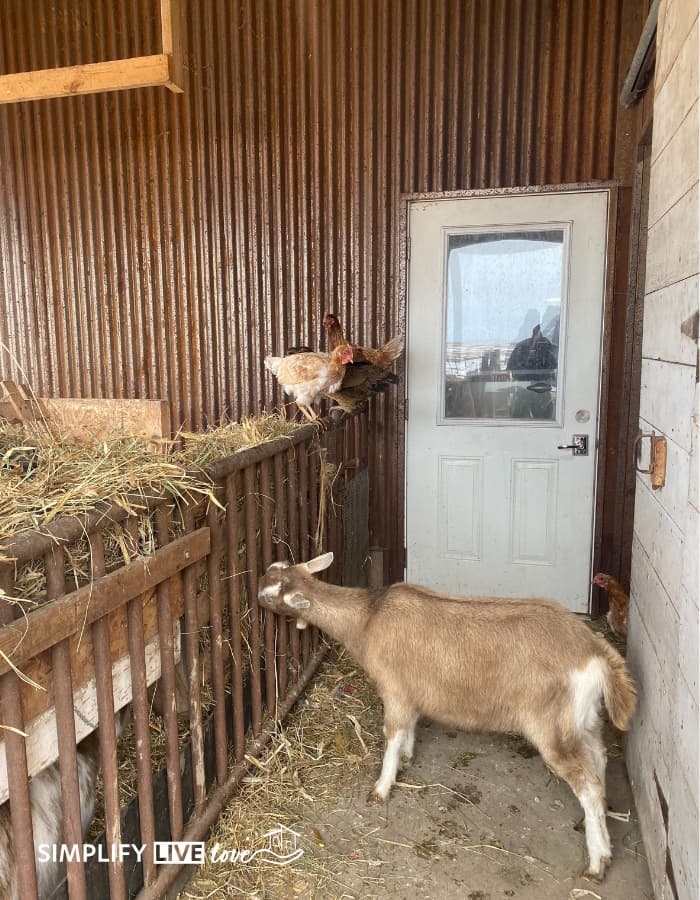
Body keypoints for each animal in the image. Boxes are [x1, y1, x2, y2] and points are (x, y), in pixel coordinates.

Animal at [258, 553, 637, 881]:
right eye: (274, 568)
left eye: (270, 594)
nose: (256, 593)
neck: (368, 619)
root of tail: (596, 653)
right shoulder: (412, 691)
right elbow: (409, 727)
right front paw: (408, 757)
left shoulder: (394, 689)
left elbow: (392, 732)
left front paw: (381, 788)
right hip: (583, 719)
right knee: (599, 758)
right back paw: (598, 828)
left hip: (552, 726)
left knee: (587, 783)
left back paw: (597, 861)